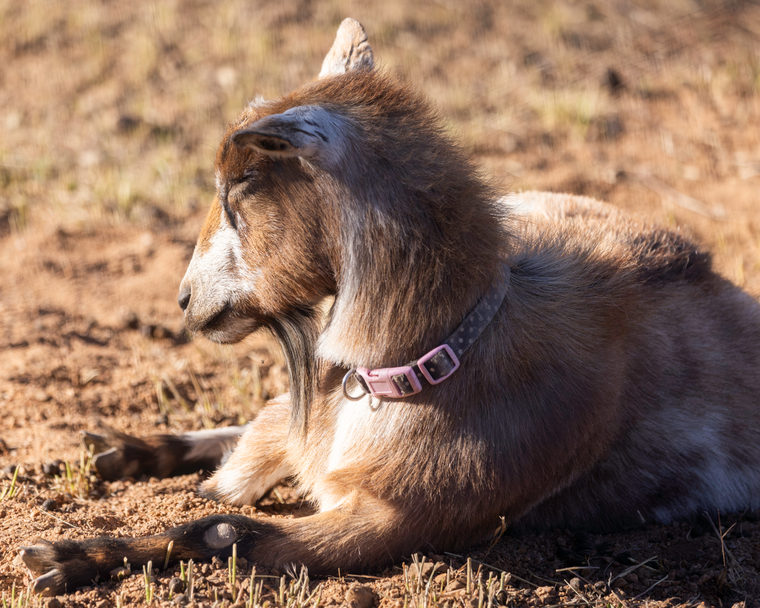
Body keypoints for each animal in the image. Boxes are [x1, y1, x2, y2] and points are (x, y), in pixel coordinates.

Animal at [21, 18, 760, 596]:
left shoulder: (390, 523)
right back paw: (110, 451)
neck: (434, 356)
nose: (184, 299)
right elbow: (236, 487)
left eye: (242, 186)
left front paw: (65, 556)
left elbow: (222, 531)